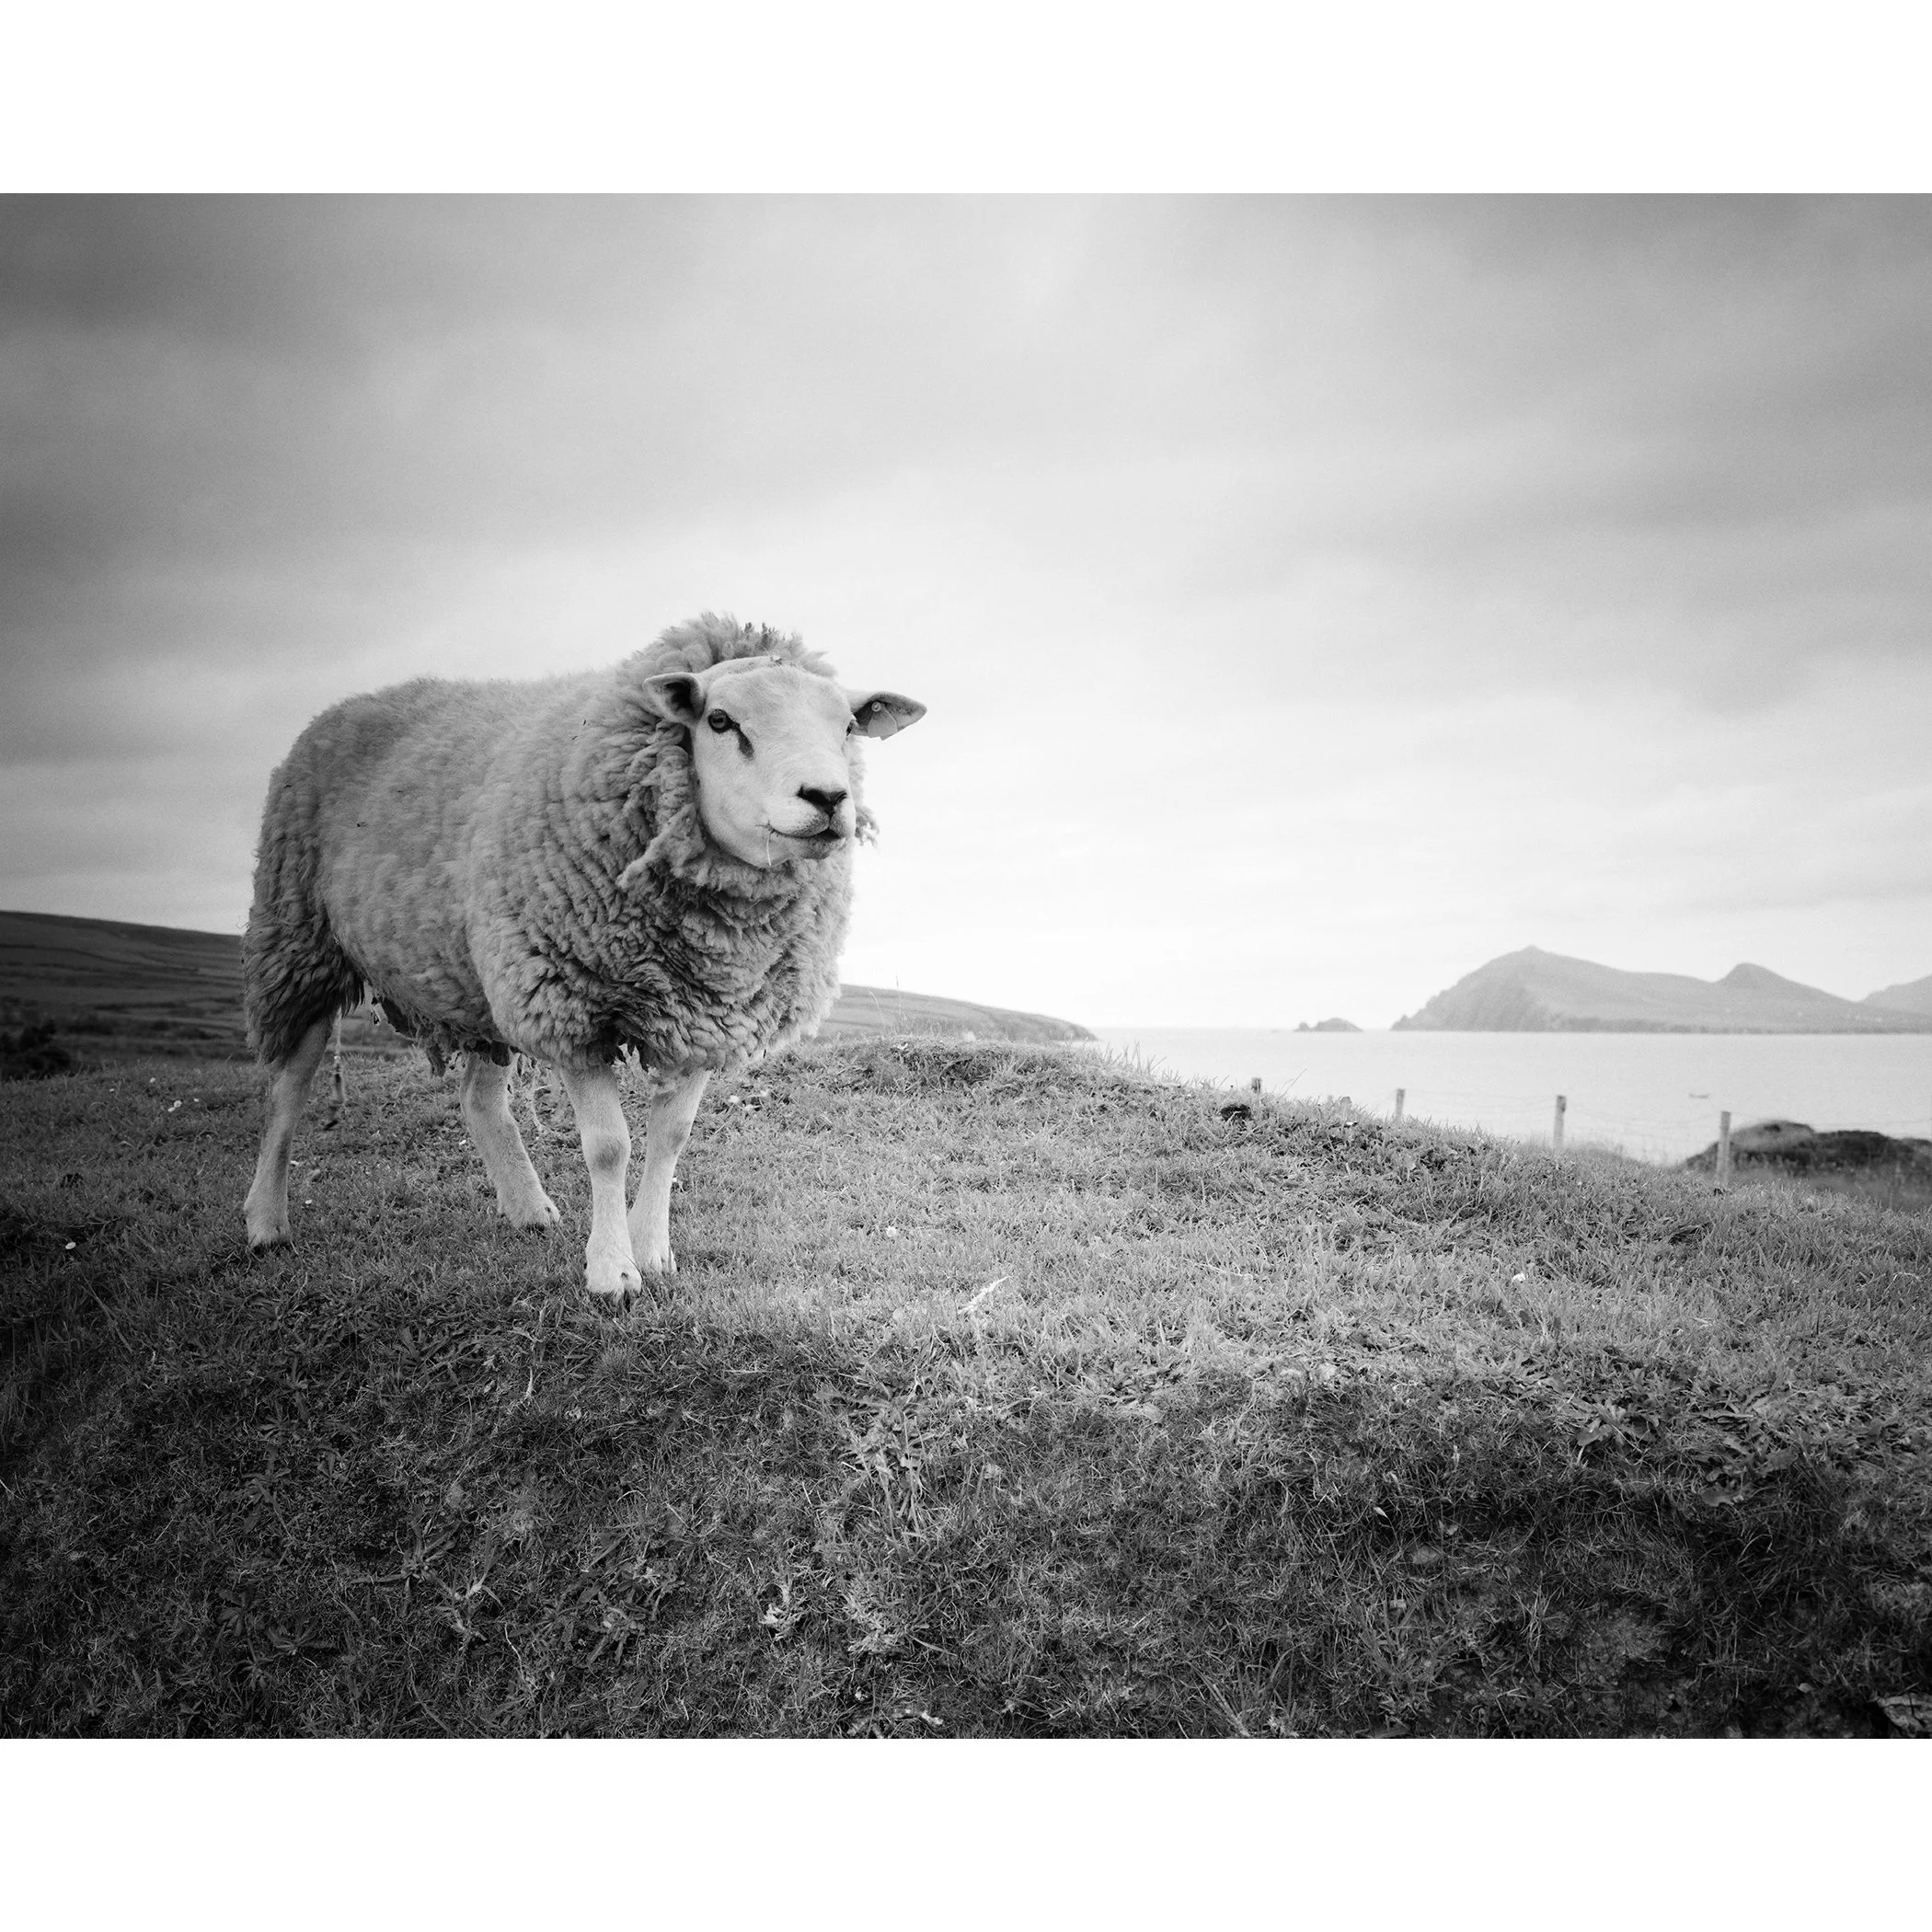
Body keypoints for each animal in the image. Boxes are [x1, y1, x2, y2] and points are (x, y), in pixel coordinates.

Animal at [241, 612, 924, 1300]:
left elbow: (671, 1137)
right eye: (720, 720)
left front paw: (653, 1251)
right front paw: (612, 1271)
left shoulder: (705, 1011)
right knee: (286, 1090)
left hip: (483, 976)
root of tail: (343, 706)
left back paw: (527, 1208)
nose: (827, 798)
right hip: (299, 938)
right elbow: (607, 1146)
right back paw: (266, 1223)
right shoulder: (571, 1002)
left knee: (479, 1100)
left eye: (847, 726)